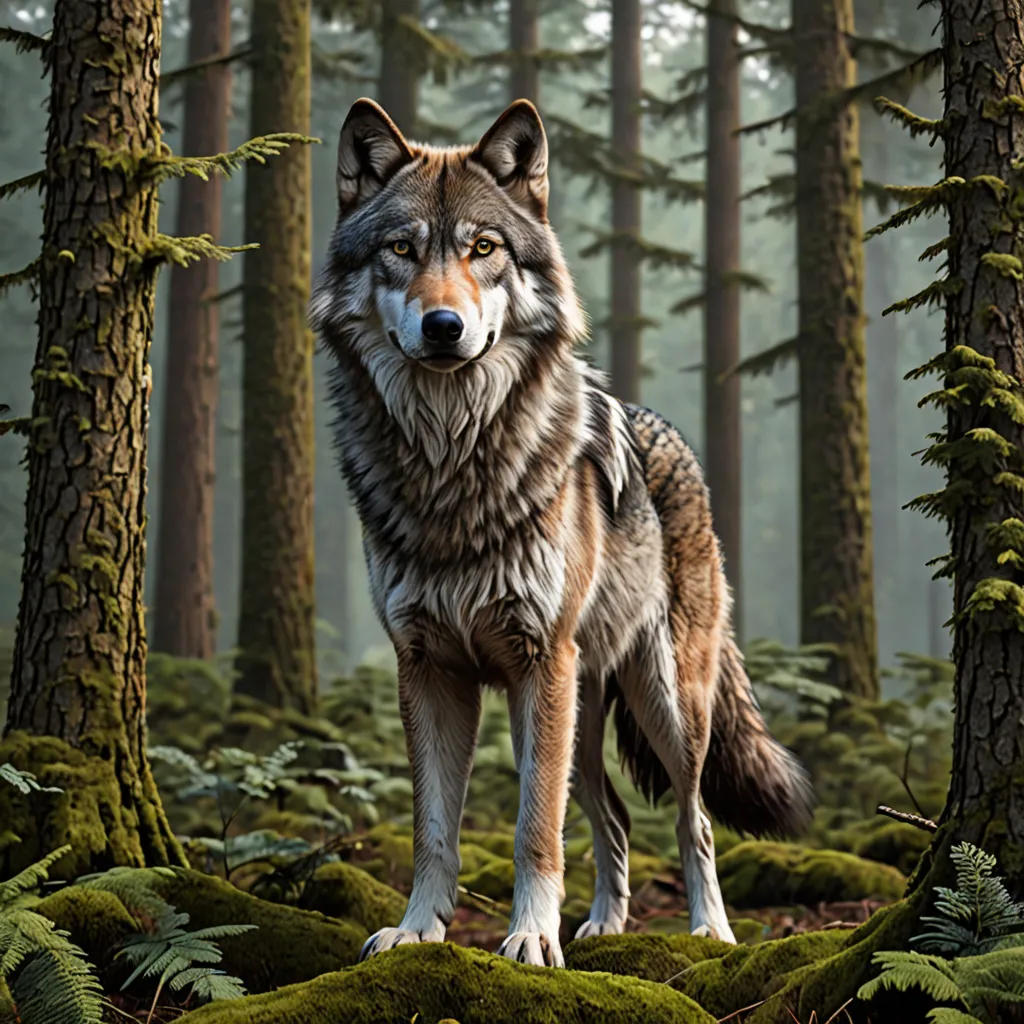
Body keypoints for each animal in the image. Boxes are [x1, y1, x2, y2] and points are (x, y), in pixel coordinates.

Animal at [310, 97, 813, 968]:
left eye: (483, 249)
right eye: (402, 249)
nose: (443, 326)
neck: (451, 461)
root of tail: (672, 435)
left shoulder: (539, 660)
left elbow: (533, 830)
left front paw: (531, 940)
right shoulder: (429, 668)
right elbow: (434, 830)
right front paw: (418, 930)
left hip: (659, 703)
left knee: (695, 818)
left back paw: (710, 930)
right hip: (571, 708)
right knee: (613, 816)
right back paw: (606, 922)